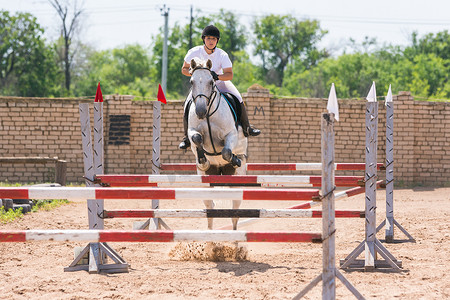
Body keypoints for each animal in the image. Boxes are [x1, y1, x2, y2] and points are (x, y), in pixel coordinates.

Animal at [187, 58, 250, 230]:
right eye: (192, 82)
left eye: (211, 81)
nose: (200, 112)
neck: (208, 114)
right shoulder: (192, 131)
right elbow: (196, 138)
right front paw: (203, 161)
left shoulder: (231, 135)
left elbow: (226, 152)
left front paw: (235, 159)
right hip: (206, 182)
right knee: (210, 207)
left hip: (237, 182)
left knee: (235, 210)